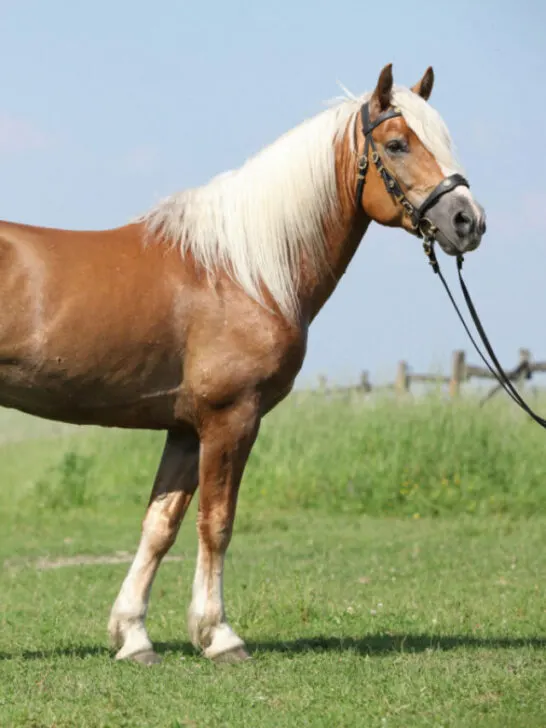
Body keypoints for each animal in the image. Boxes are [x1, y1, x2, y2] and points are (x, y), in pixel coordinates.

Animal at [0, 64, 486, 664]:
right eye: (397, 144)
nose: (468, 221)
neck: (242, 271)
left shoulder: (186, 429)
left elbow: (161, 524)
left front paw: (133, 636)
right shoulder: (230, 418)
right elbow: (217, 523)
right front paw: (220, 635)